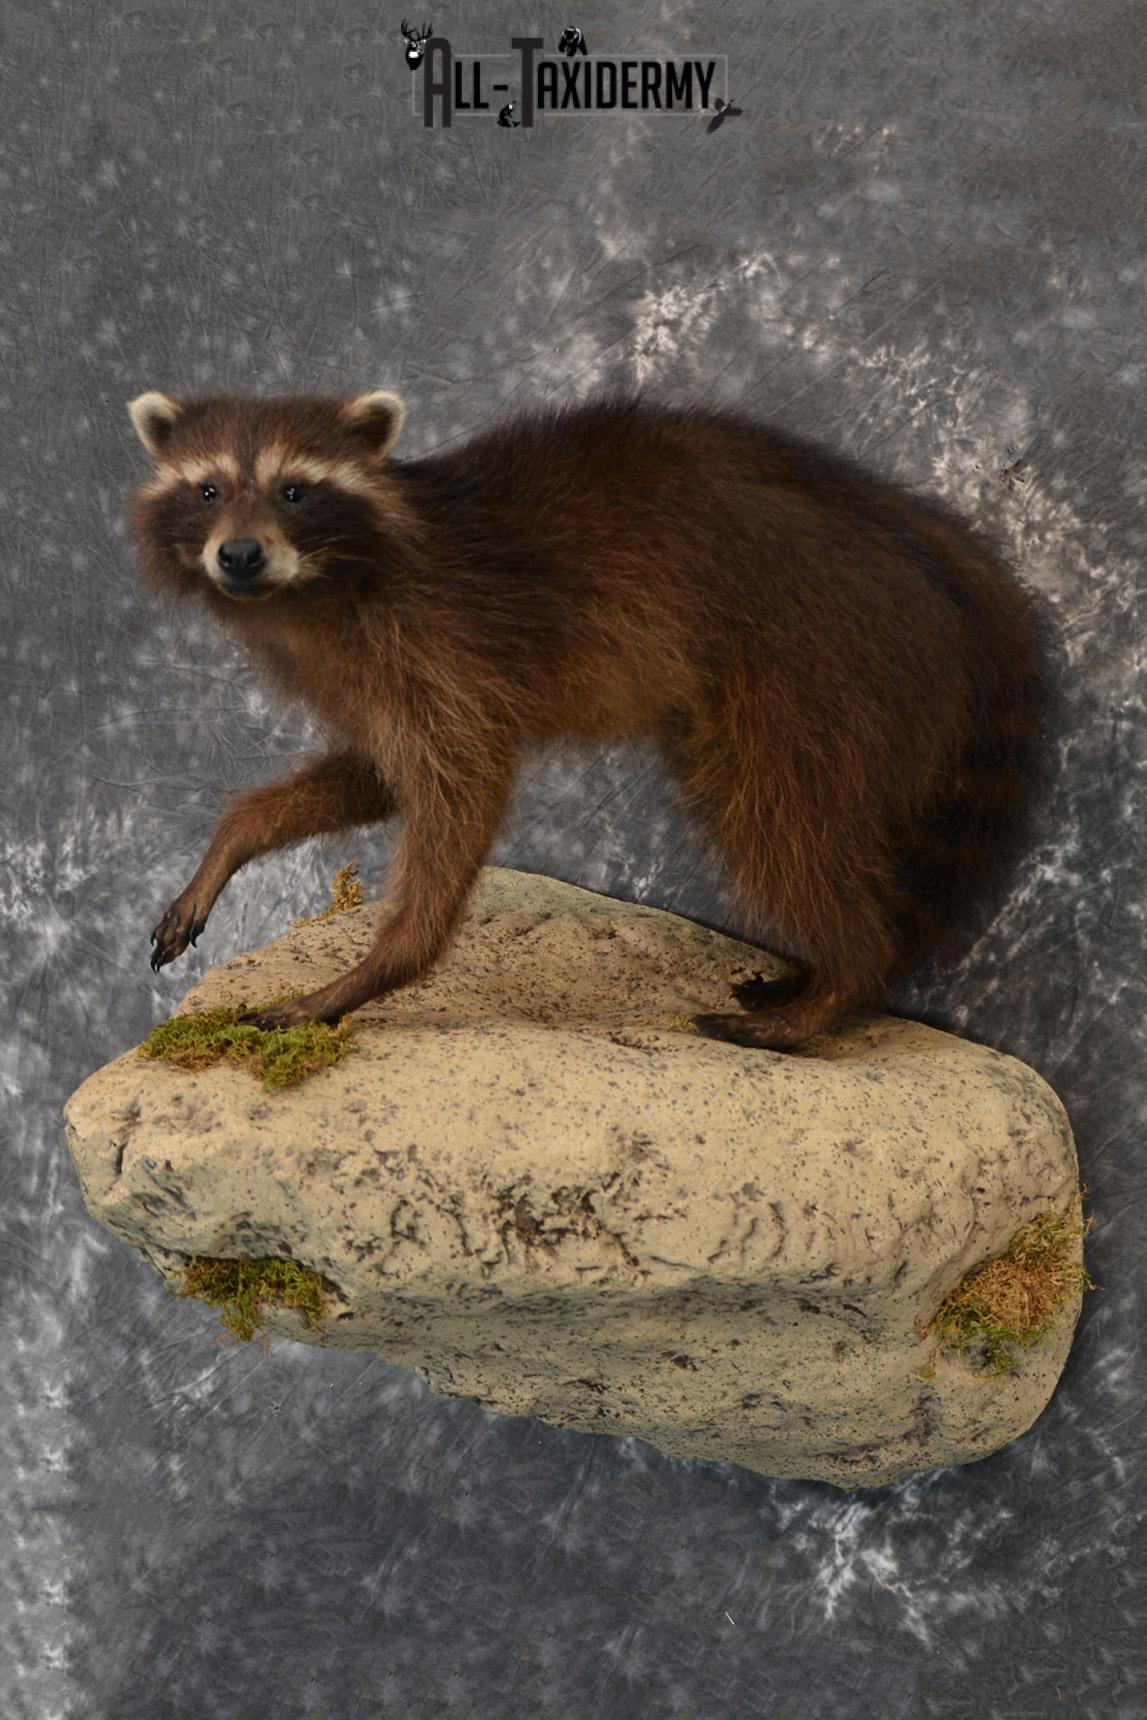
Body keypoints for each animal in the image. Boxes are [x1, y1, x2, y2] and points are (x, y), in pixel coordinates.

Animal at [128, 388, 1056, 1048]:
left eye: (294, 490)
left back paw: (845, 978)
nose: (239, 555)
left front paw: (381, 966)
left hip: (813, 663)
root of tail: (925, 542)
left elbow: (461, 791)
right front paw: (232, 841)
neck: (312, 590)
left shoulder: (443, 649)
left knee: (780, 822)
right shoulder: (372, 682)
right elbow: (374, 778)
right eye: (208, 488)